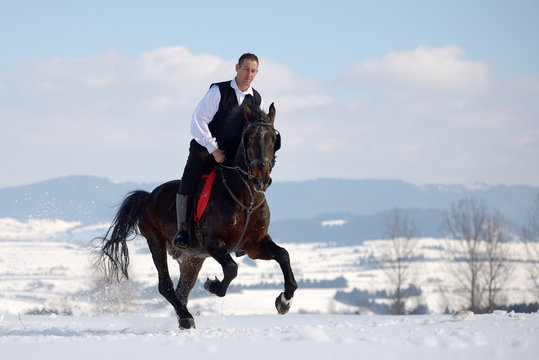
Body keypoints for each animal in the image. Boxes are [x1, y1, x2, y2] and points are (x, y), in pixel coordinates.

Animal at [98, 102, 300, 330]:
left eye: (274, 139)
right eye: (248, 137)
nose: (262, 180)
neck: (246, 199)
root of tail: (149, 196)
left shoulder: (255, 245)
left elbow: (283, 255)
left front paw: (284, 301)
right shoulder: (213, 242)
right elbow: (231, 268)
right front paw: (213, 285)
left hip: (192, 258)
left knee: (182, 290)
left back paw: (183, 316)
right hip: (156, 242)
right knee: (165, 285)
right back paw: (186, 317)